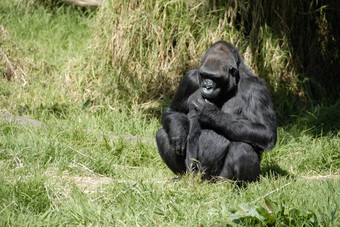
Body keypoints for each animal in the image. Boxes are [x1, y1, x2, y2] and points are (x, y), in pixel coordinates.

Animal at [156, 41, 276, 183]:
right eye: (204, 75)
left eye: (215, 78)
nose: (207, 87)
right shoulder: (189, 79)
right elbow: (173, 111)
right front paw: (178, 131)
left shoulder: (257, 88)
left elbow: (266, 132)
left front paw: (209, 113)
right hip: (194, 174)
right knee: (162, 134)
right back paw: (182, 177)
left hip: (217, 178)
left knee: (242, 146)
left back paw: (234, 185)